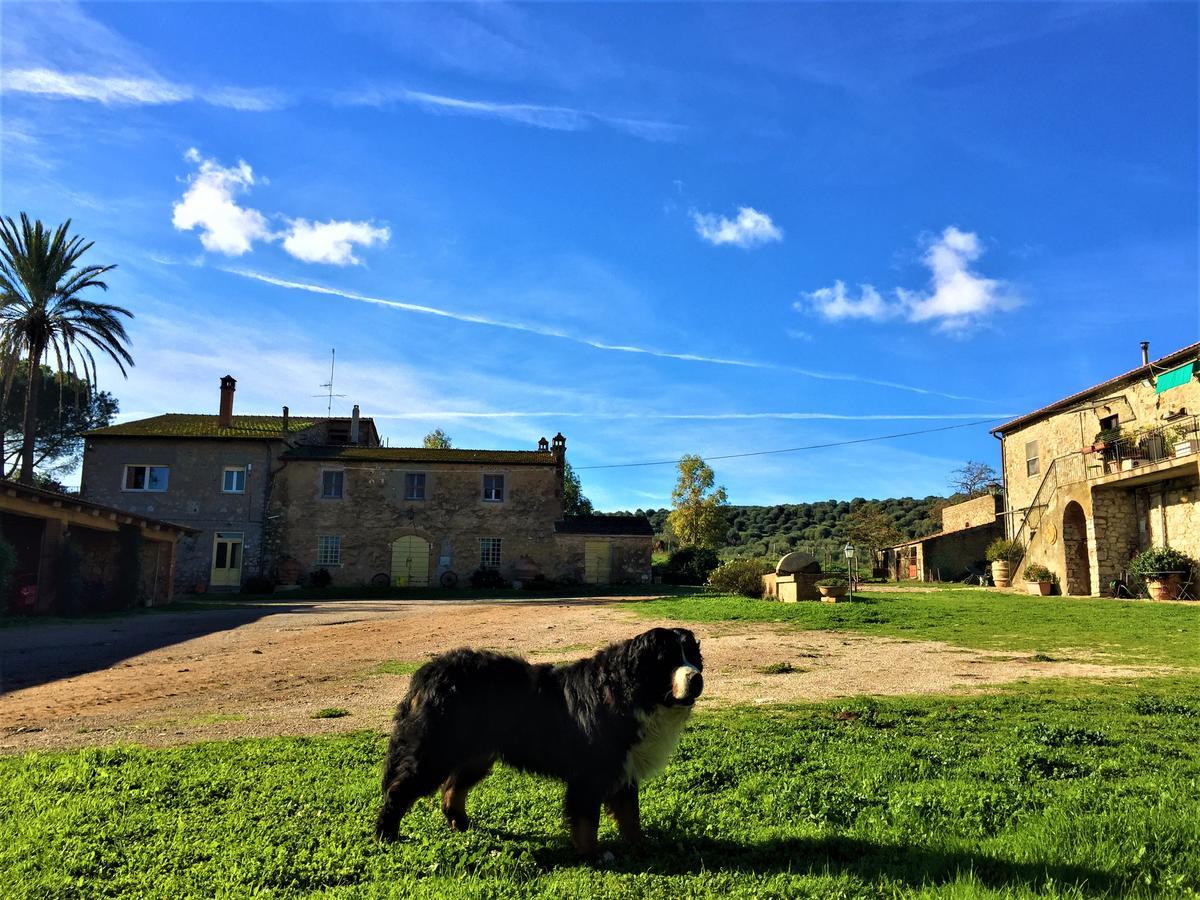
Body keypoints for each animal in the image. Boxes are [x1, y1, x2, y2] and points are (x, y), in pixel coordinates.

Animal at [374, 628, 700, 854]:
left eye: (693, 658)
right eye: (667, 660)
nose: (696, 677)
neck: (630, 691)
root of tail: (429, 672)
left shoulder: (624, 768)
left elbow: (630, 815)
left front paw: (640, 847)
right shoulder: (591, 773)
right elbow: (587, 819)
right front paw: (592, 854)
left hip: (475, 755)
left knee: (452, 788)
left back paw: (461, 823)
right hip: (435, 751)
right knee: (399, 790)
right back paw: (386, 836)